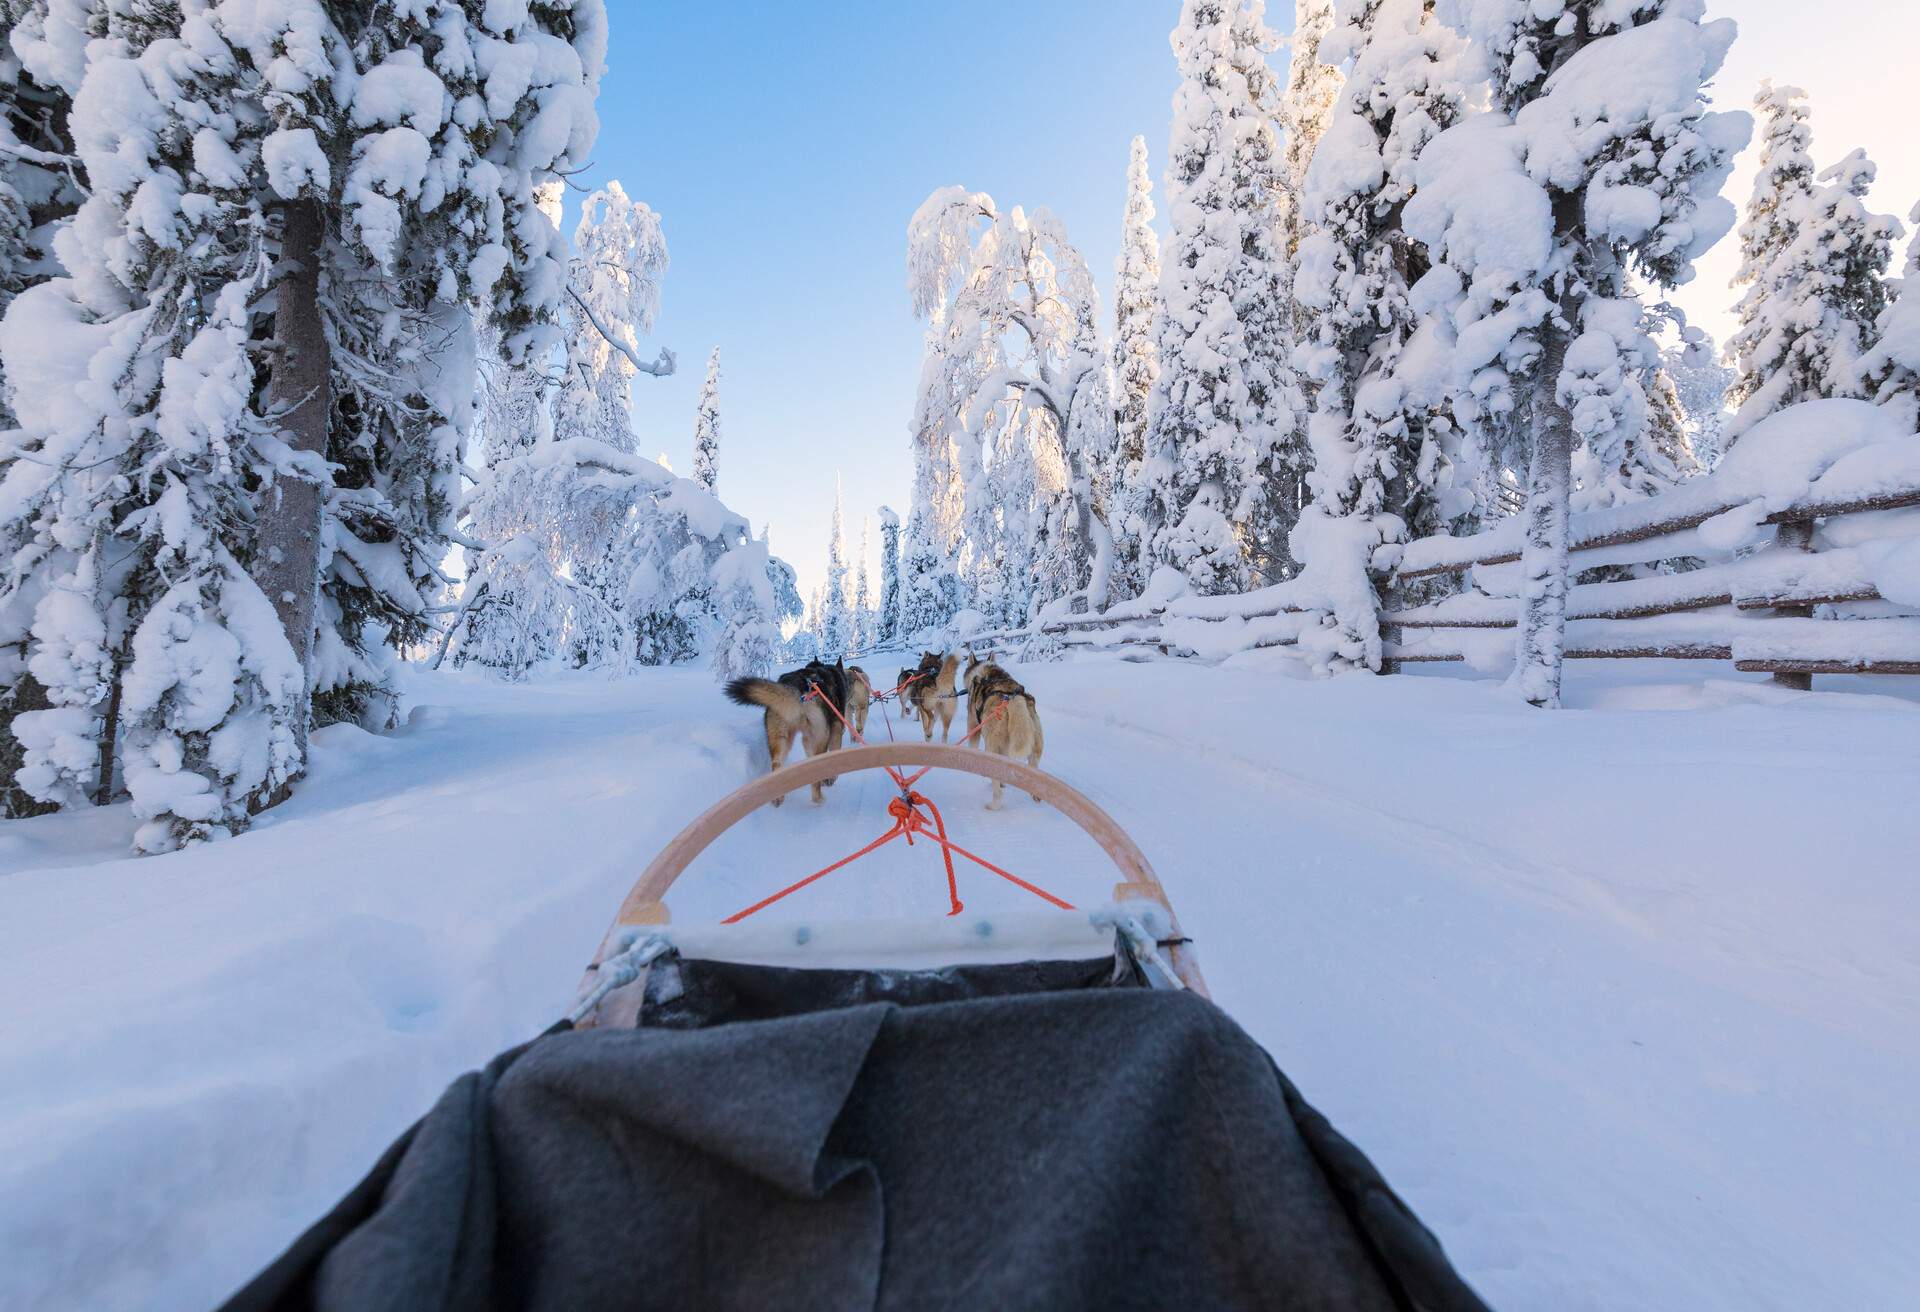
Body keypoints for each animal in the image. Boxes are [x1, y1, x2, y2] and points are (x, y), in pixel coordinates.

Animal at [721, 660, 852, 806]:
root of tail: (798, 688)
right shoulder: (836, 730)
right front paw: (830, 779)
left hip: (781, 738)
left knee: (777, 764)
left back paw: (778, 798)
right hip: (819, 739)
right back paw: (818, 799)